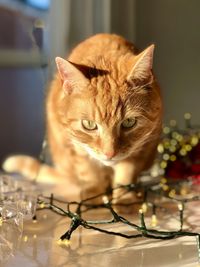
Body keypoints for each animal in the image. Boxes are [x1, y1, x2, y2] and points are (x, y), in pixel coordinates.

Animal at [2, 34, 162, 203]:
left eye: (129, 122)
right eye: (89, 124)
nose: (109, 154)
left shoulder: (143, 145)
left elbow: (127, 172)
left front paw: (126, 197)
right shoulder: (73, 145)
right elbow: (90, 172)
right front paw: (93, 196)